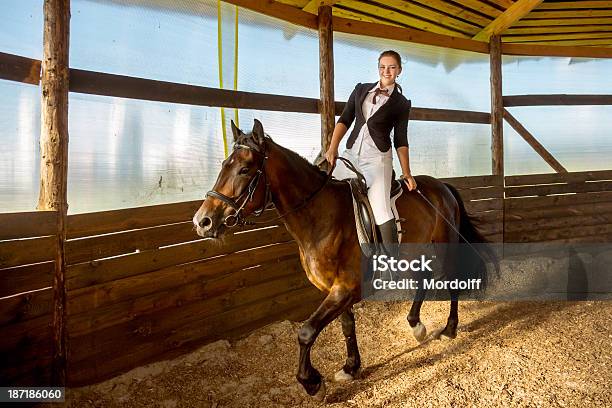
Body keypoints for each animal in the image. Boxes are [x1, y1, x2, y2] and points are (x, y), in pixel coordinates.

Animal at [194, 119, 494, 400]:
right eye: (223, 165)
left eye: (245, 170)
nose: (202, 222)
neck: (320, 217)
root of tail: (441, 185)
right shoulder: (335, 289)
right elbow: (347, 326)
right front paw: (351, 367)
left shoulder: (345, 289)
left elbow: (306, 332)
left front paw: (312, 383)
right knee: (424, 279)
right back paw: (416, 325)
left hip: (446, 246)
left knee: (451, 281)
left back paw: (449, 330)